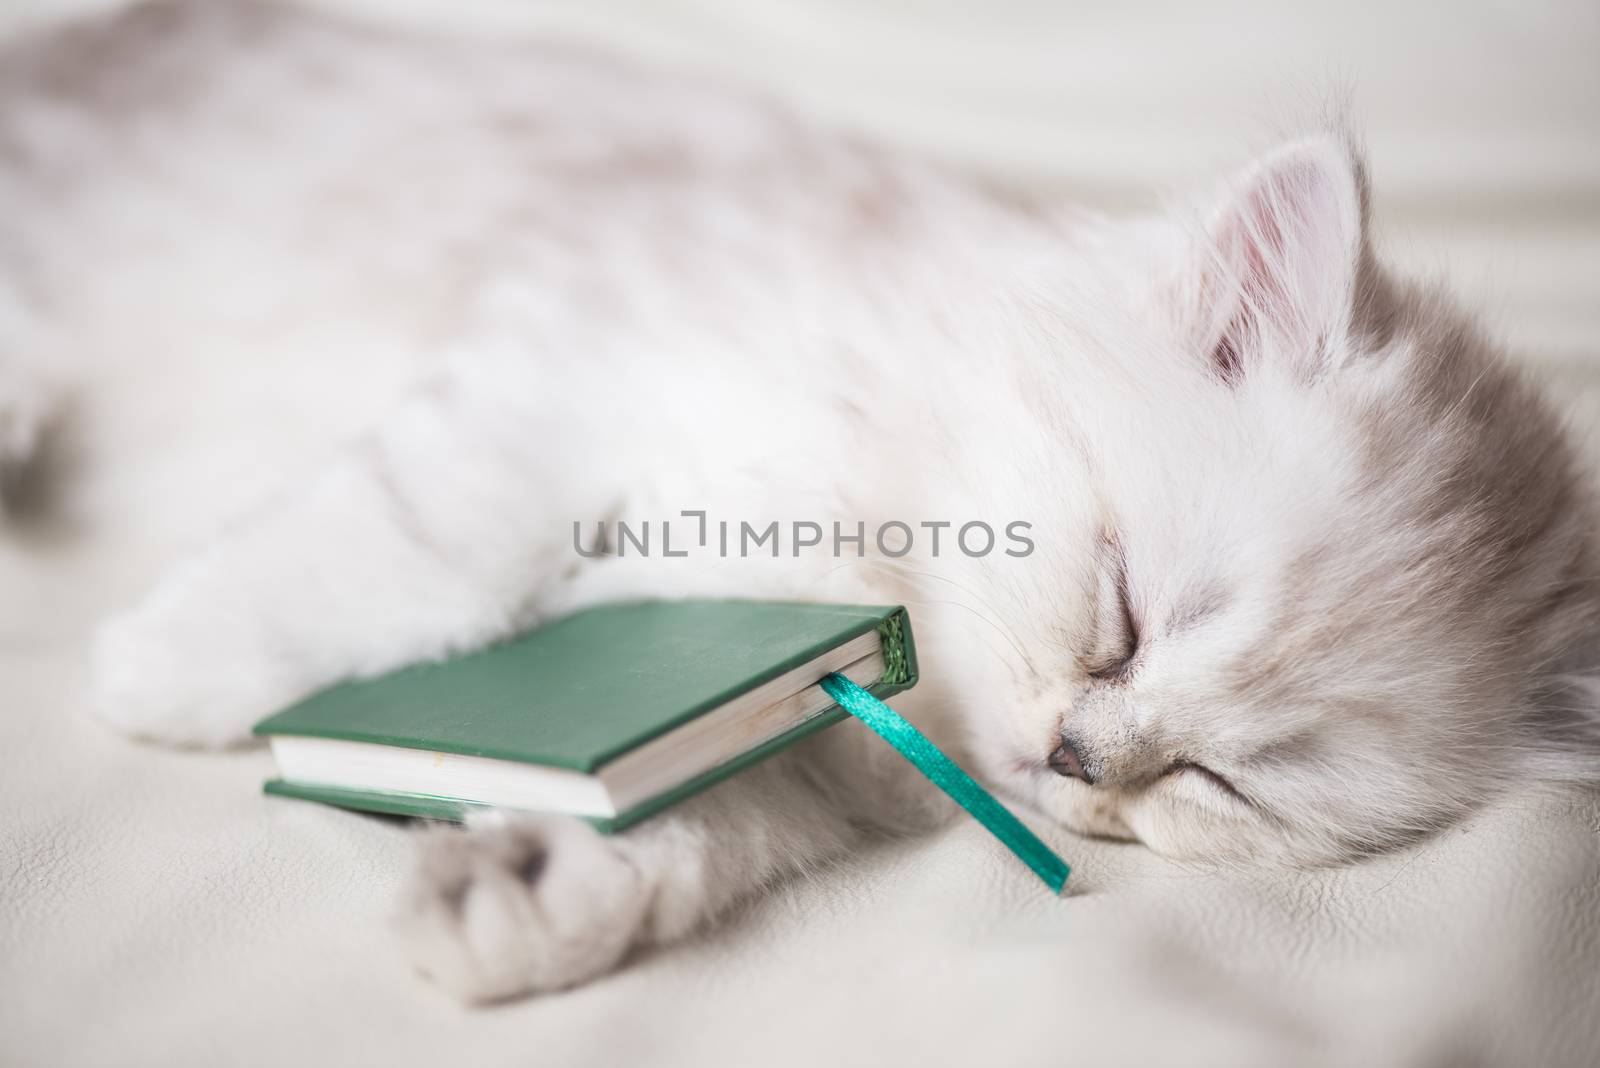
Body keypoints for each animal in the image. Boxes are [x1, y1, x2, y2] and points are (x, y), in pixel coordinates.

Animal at [6, 0, 1593, 1004]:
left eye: (1220, 783)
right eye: (1127, 615)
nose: (1078, 761)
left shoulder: (790, 730)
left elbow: (695, 819)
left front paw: (518, 897)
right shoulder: (565, 367)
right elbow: (415, 556)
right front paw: (167, 672)